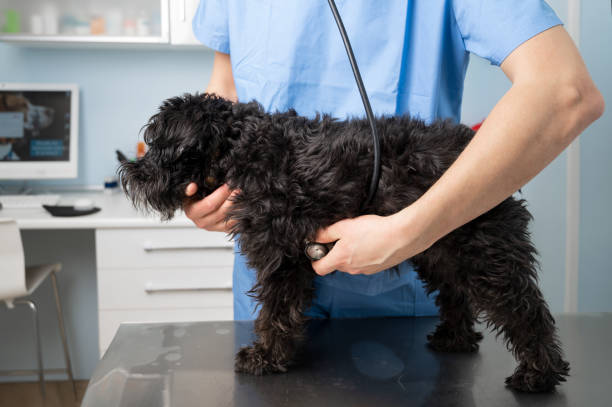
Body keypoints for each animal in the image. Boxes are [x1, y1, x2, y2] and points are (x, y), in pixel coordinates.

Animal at [118, 94, 568, 394]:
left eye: (158, 145)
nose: (129, 172)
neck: (243, 148)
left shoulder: (281, 256)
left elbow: (276, 311)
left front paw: (265, 357)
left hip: (485, 252)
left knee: (525, 309)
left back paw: (539, 373)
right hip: (438, 248)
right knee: (456, 296)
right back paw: (454, 339)